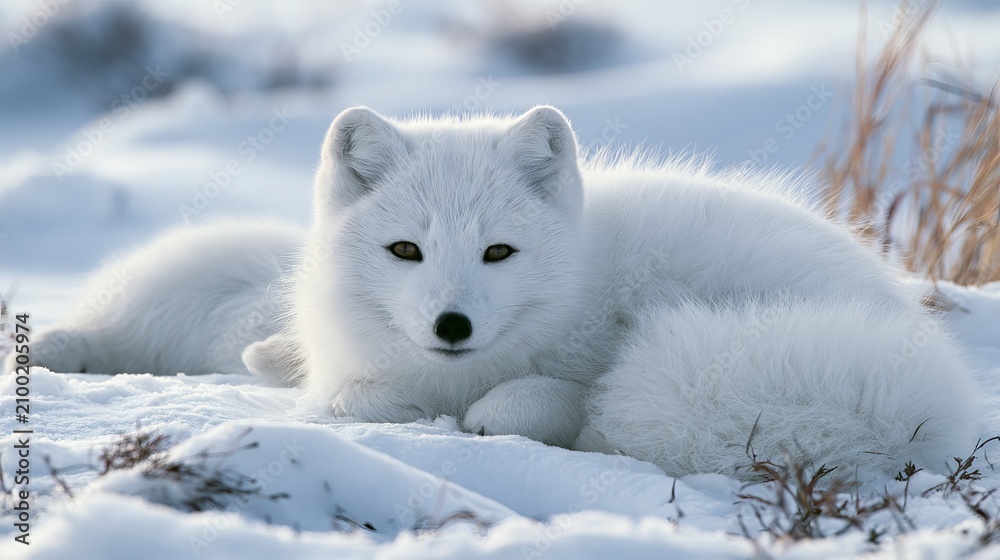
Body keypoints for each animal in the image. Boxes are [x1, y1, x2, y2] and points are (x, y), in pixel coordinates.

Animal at [6, 106, 977, 478]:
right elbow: (339, 384)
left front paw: (492, 412)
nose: (451, 322)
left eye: (498, 252)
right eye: (405, 249)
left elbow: (533, 404)